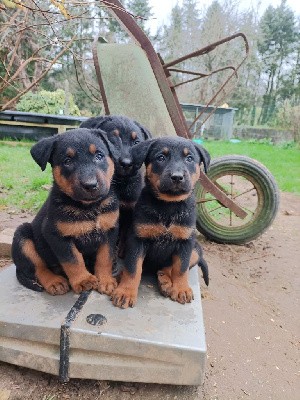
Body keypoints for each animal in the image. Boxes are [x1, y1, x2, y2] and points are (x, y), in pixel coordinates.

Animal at [12, 129, 119, 296]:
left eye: (99, 155)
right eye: (67, 161)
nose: (90, 185)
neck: (89, 207)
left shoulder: (110, 230)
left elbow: (105, 257)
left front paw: (105, 280)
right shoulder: (55, 234)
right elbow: (72, 259)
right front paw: (83, 280)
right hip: (22, 236)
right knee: (39, 267)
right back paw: (55, 282)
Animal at [79, 114, 151, 258]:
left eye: (137, 143)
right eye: (111, 140)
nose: (127, 163)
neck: (120, 183)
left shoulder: (130, 209)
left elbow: (124, 232)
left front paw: (122, 249)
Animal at [111, 138, 210, 310]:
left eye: (189, 158)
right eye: (161, 158)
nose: (177, 177)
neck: (168, 206)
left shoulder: (186, 241)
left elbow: (181, 268)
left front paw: (181, 288)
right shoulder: (137, 240)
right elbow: (133, 268)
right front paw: (126, 291)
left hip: (196, 250)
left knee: (170, 267)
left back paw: (166, 281)